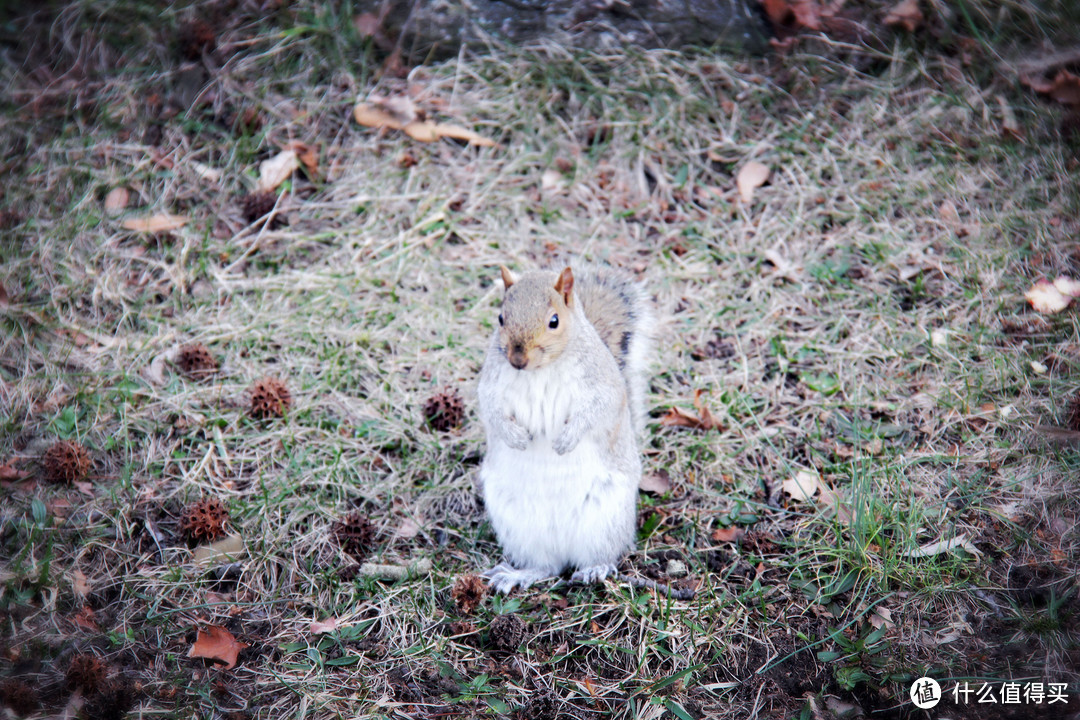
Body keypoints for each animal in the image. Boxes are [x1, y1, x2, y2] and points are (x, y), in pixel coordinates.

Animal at [483, 263, 656, 591]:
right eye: (500, 318)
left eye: (554, 321)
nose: (517, 359)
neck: (540, 370)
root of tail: (564, 548)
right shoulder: (492, 386)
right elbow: (492, 413)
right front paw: (516, 438)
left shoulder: (602, 384)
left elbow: (598, 409)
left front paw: (566, 439)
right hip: (520, 528)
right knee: (547, 566)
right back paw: (520, 574)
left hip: (604, 519)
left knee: (598, 555)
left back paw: (595, 569)